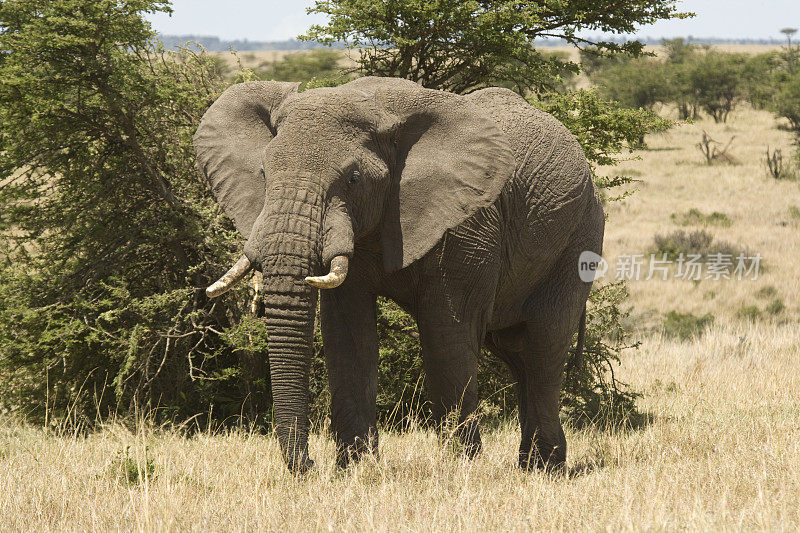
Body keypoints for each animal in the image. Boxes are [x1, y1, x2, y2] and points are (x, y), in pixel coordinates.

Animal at [194, 75, 604, 470]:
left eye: (354, 178)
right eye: (264, 174)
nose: (308, 464)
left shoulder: (468, 224)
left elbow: (446, 336)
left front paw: (461, 468)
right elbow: (348, 334)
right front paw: (356, 469)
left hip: (579, 235)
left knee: (543, 346)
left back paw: (545, 467)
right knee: (515, 353)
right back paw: (532, 464)